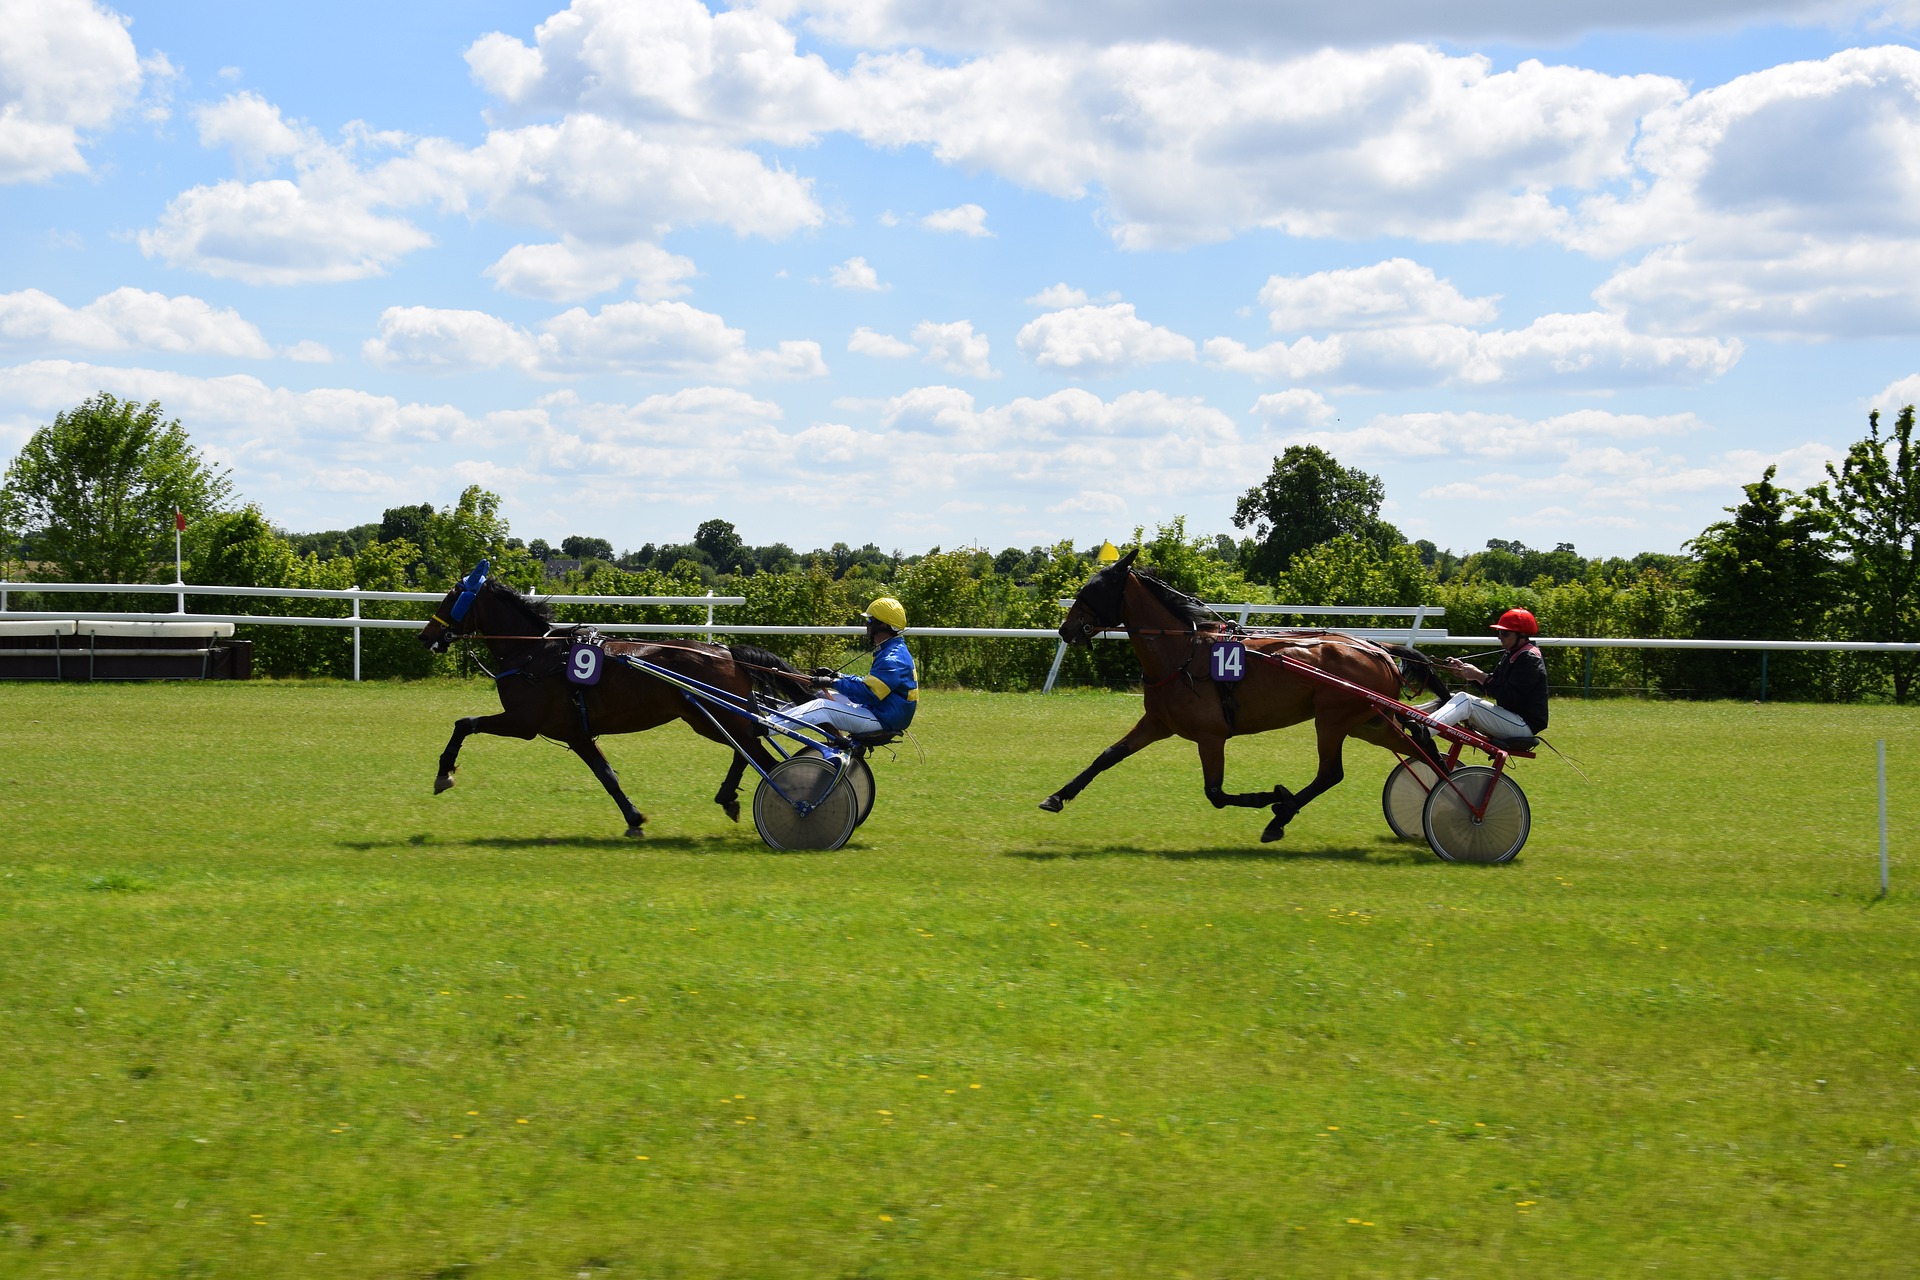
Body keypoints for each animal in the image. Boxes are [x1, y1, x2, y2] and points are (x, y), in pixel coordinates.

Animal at [420, 564, 810, 836]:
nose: (426, 637)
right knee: (748, 748)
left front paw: (444, 773)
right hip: (709, 719)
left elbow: (464, 724)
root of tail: (727, 652)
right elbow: (606, 775)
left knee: (759, 755)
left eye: (452, 598)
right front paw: (634, 818)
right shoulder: (576, 734)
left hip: (714, 717)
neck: (533, 654)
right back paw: (729, 797)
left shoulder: (523, 721)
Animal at [1044, 548, 1443, 840]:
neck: (1184, 653)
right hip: (1368, 721)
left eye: (1091, 591)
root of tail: (1377, 650)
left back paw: (1280, 817)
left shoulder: (1210, 735)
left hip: (1333, 720)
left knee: (1331, 773)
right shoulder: (1158, 723)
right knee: (1421, 745)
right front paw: (1056, 797)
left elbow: (1216, 794)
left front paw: (1274, 796)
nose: (1065, 629)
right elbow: (1108, 756)